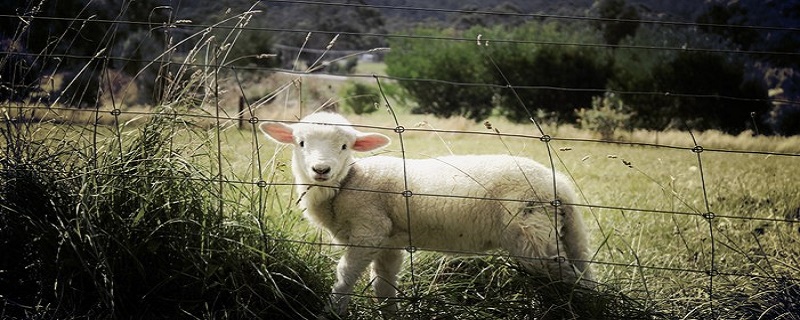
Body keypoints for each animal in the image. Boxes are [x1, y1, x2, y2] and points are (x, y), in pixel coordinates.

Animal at [260, 111, 592, 316]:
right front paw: (390, 315)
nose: (321, 170)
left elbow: (345, 276)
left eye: (344, 146)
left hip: (531, 236)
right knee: (582, 274)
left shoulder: (369, 230)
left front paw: (332, 311)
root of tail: (558, 184)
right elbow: (384, 286)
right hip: (556, 233)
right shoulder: (389, 241)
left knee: (567, 278)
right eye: (301, 143)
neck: (347, 183)